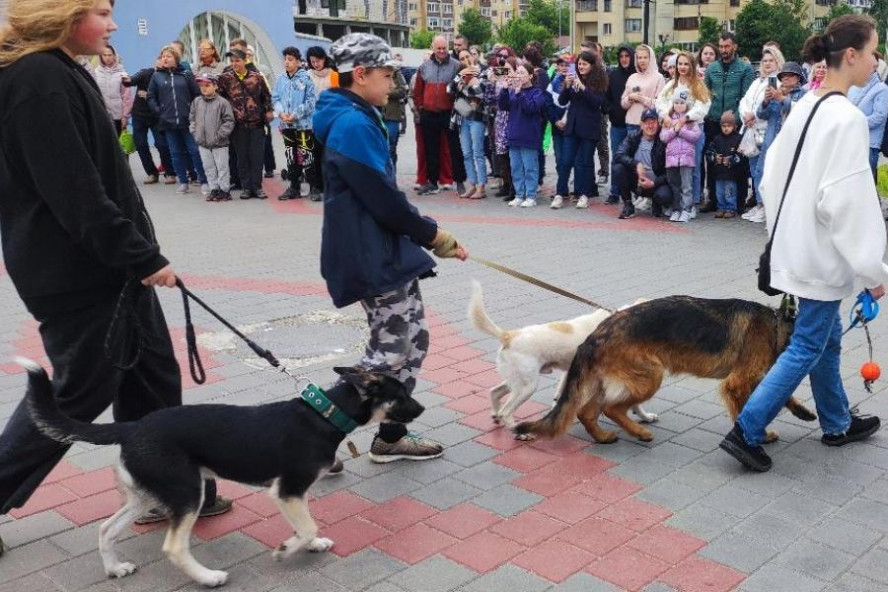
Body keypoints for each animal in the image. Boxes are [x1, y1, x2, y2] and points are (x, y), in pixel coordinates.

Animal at [20, 360, 424, 588]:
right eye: (401, 394)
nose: (420, 409)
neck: (324, 414)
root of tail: (131, 427)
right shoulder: (287, 489)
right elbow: (307, 525)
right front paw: (288, 549)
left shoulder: (295, 493)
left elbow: (307, 524)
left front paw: (311, 545)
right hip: (187, 491)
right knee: (173, 546)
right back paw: (208, 578)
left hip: (146, 494)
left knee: (106, 529)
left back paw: (115, 568)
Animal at [468, 280, 656, 438]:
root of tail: (508, 335)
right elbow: (635, 403)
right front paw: (644, 417)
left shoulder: (569, 374)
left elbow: (559, 397)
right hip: (527, 386)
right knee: (506, 411)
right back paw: (520, 433)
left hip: (517, 381)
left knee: (494, 392)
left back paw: (496, 417)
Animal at [516, 296, 816, 444]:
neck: (776, 325)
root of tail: (594, 336)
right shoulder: (738, 382)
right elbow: (744, 410)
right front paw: (756, 437)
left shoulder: (755, 377)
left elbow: (781, 394)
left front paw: (802, 411)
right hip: (651, 376)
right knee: (611, 409)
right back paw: (639, 432)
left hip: (611, 381)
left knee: (586, 412)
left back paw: (603, 437)